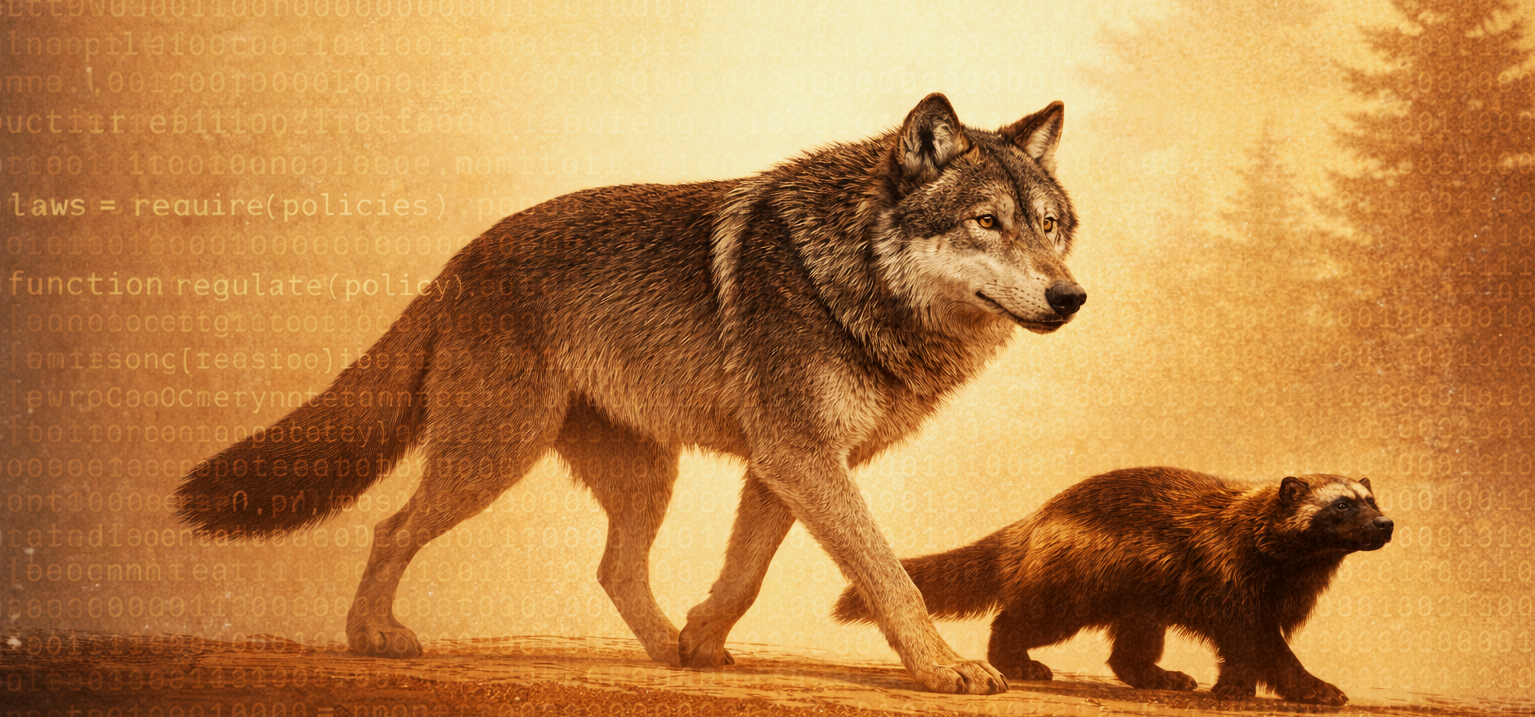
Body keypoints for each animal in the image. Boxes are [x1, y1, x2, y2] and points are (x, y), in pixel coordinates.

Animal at [176, 93, 1086, 694]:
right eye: (985, 222)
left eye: (1048, 226)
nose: (1070, 297)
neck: (852, 278)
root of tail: (460, 259)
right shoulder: (800, 458)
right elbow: (887, 574)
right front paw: (945, 667)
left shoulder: (781, 468)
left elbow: (744, 577)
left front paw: (699, 640)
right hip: (494, 456)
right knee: (390, 527)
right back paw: (373, 636)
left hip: (644, 475)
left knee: (613, 568)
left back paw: (661, 652)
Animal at [832, 467, 1394, 704]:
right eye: (1340, 505)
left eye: (1373, 499)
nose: (1386, 524)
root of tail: (1030, 524)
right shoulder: (1234, 584)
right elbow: (1264, 648)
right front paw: (1318, 689)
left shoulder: (1267, 600)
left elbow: (1244, 652)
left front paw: (1234, 688)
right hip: (1073, 590)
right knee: (1014, 619)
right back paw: (1020, 663)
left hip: (1142, 600)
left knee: (1129, 651)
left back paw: (1163, 676)